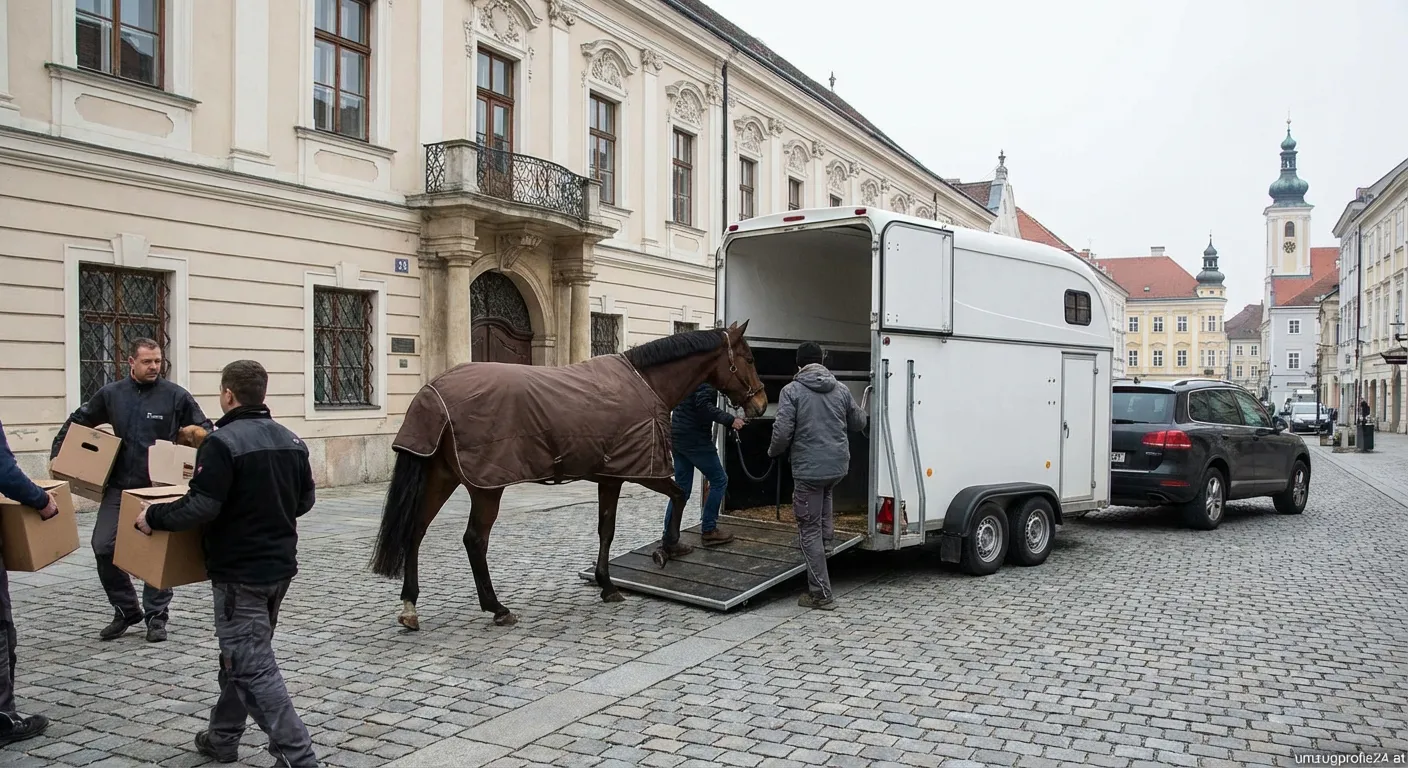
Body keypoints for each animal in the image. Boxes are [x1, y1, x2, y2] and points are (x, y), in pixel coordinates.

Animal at [367, 321, 768, 630]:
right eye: (749, 358)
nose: (761, 404)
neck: (647, 381)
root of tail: (431, 394)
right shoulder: (641, 471)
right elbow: (679, 495)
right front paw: (668, 548)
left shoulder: (610, 475)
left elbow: (606, 529)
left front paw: (608, 584)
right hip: (486, 487)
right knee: (474, 541)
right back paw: (497, 608)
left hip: (443, 478)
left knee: (416, 531)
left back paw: (410, 606)